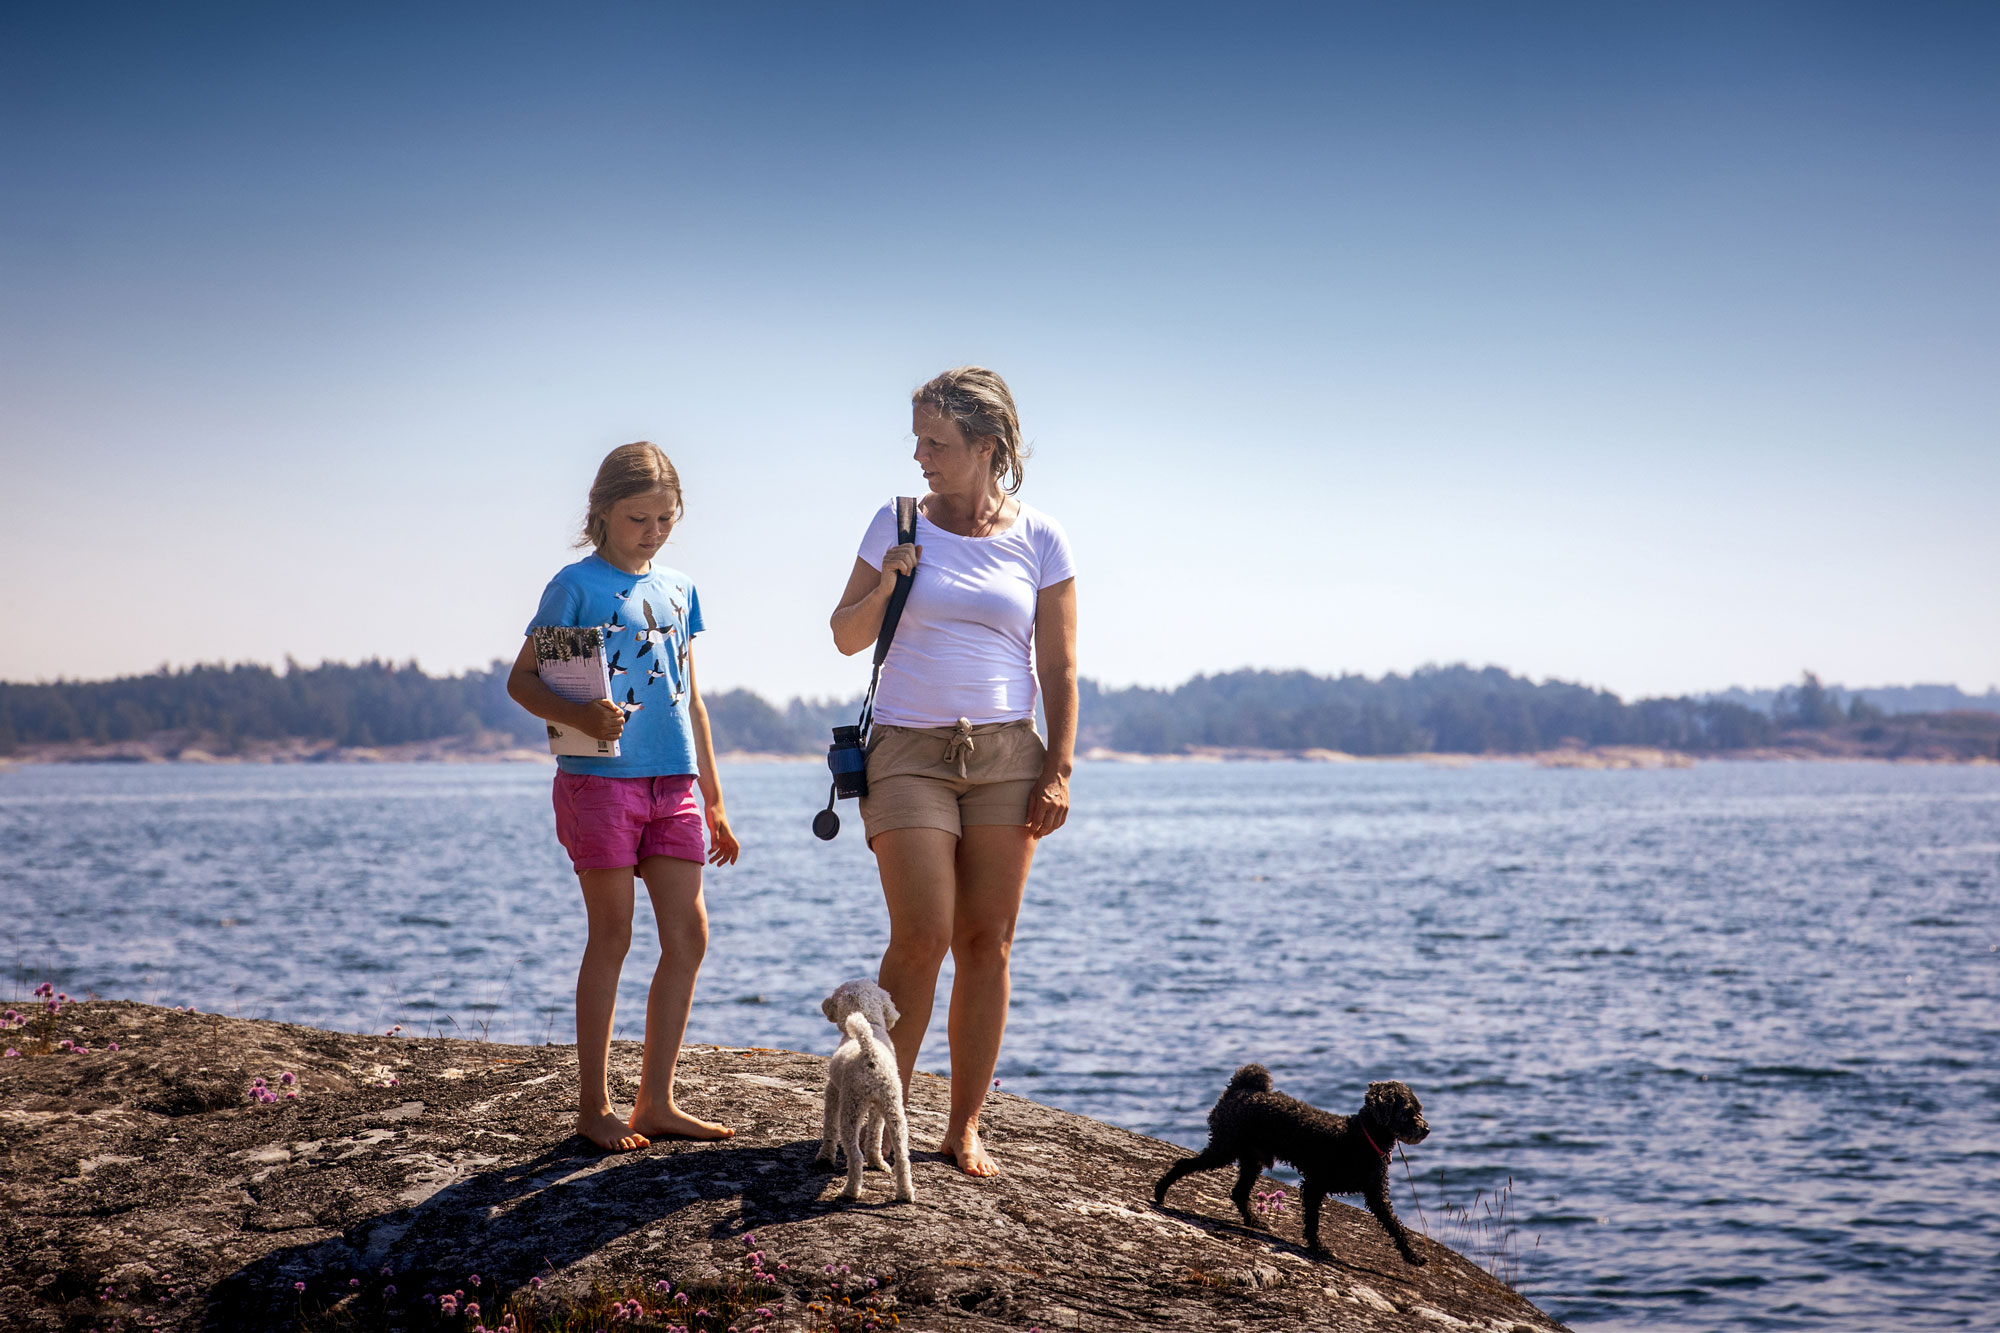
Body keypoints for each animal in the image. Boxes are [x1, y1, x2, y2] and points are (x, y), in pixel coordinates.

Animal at [816, 972, 916, 1200]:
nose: (824, 1005)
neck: (870, 1025)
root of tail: (870, 1054)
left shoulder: (833, 1091)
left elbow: (829, 1127)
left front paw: (825, 1156)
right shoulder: (878, 1109)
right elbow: (875, 1135)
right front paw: (876, 1161)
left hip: (850, 1110)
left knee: (855, 1155)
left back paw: (851, 1191)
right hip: (893, 1109)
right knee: (902, 1156)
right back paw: (905, 1193)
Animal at [1152, 1064, 1432, 1264]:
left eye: (1419, 1109)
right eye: (1407, 1112)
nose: (1426, 1129)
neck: (1360, 1137)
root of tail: (1240, 1090)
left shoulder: (1376, 1195)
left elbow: (1395, 1226)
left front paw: (1412, 1256)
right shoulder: (1314, 1186)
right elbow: (1312, 1222)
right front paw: (1318, 1248)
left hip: (1251, 1159)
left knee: (1239, 1192)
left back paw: (1254, 1221)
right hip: (1224, 1148)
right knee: (1183, 1163)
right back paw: (1160, 1193)